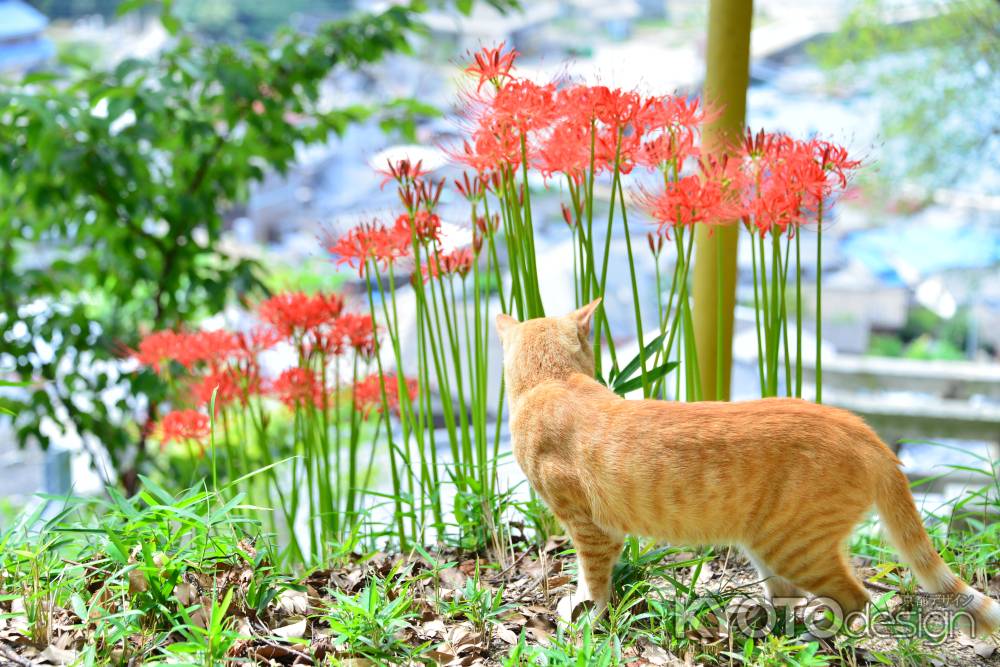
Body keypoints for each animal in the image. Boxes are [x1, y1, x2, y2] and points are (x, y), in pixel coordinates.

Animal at [496, 302, 1000, 636]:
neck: (552, 381)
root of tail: (860, 429)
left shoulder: (591, 527)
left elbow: (593, 579)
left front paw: (585, 613)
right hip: (767, 544)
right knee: (790, 595)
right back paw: (765, 626)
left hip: (794, 545)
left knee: (856, 599)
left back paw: (823, 635)